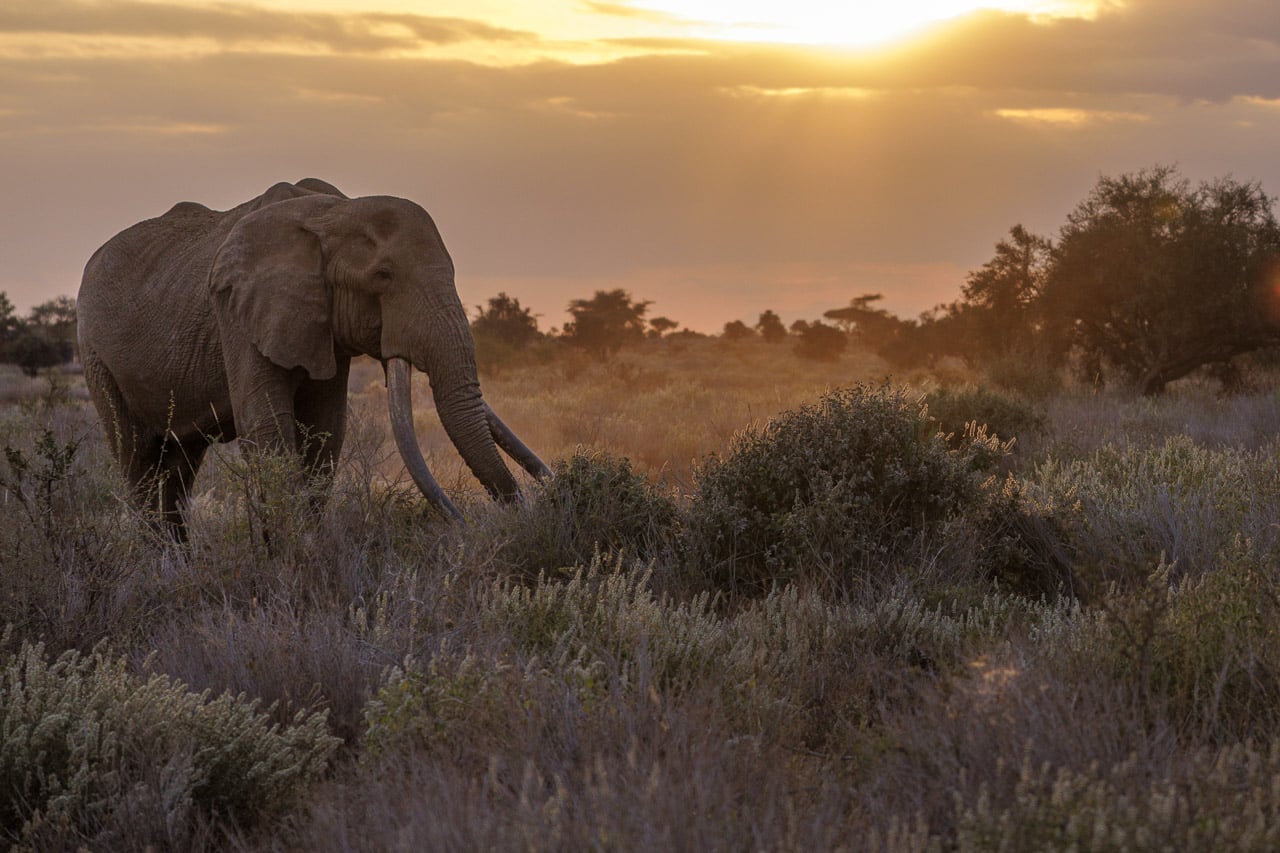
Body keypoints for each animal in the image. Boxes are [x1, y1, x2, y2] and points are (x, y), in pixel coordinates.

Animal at [78, 175, 550, 535]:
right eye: (383, 275)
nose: (475, 525)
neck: (331, 213)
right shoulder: (237, 310)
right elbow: (267, 425)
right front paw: (294, 556)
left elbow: (325, 427)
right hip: (95, 354)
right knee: (138, 458)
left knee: (179, 465)